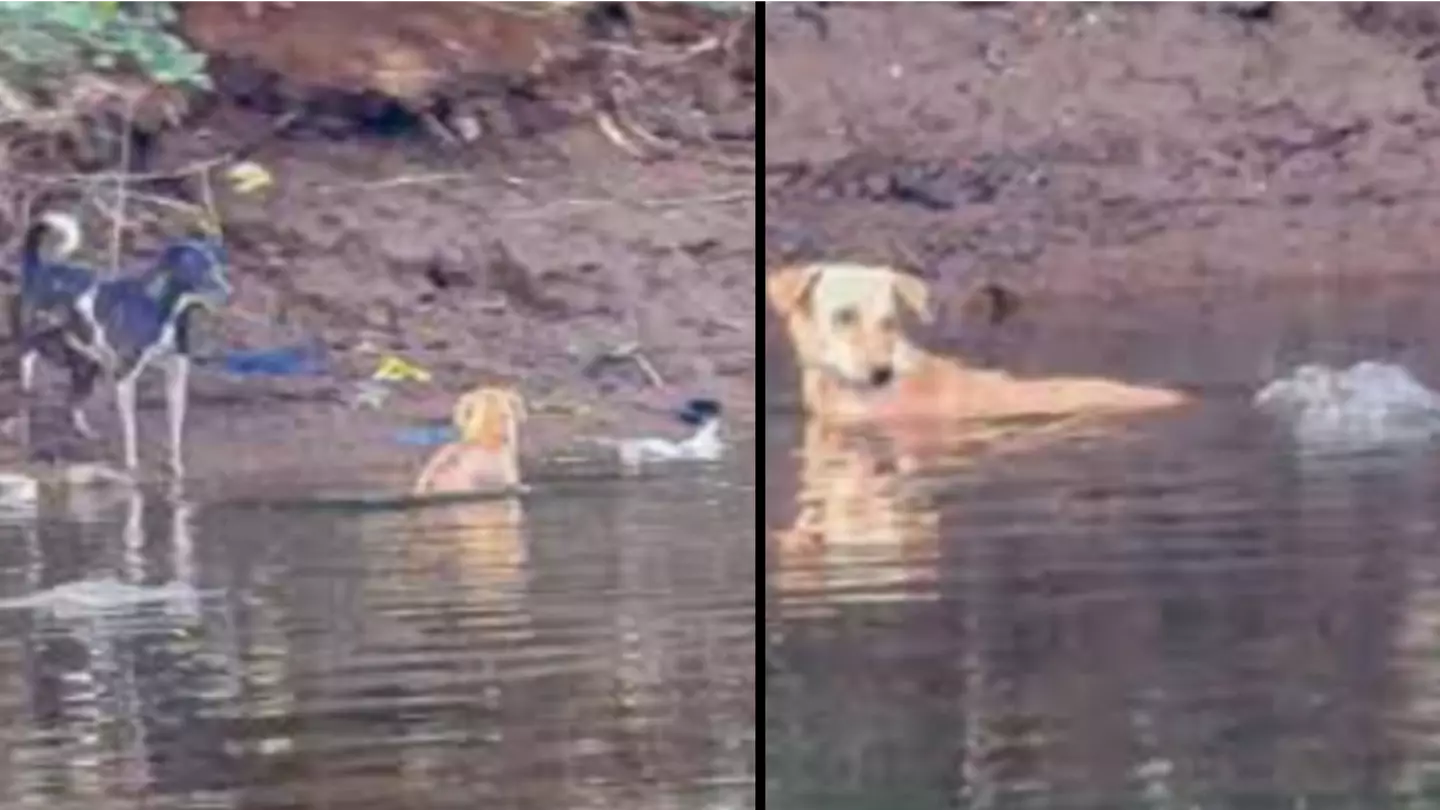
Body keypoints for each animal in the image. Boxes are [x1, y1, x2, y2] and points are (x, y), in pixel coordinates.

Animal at [9, 211, 231, 475]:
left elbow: (175, 427)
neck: (164, 309)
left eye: (219, 269)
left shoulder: (176, 374)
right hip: (37, 345)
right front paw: (132, 464)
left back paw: (83, 432)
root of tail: (39, 270)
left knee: (72, 403)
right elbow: (131, 429)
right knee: (28, 368)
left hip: (85, 365)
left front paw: (175, 466)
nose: (229, 292)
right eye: (202, 271)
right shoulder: (125, 377)